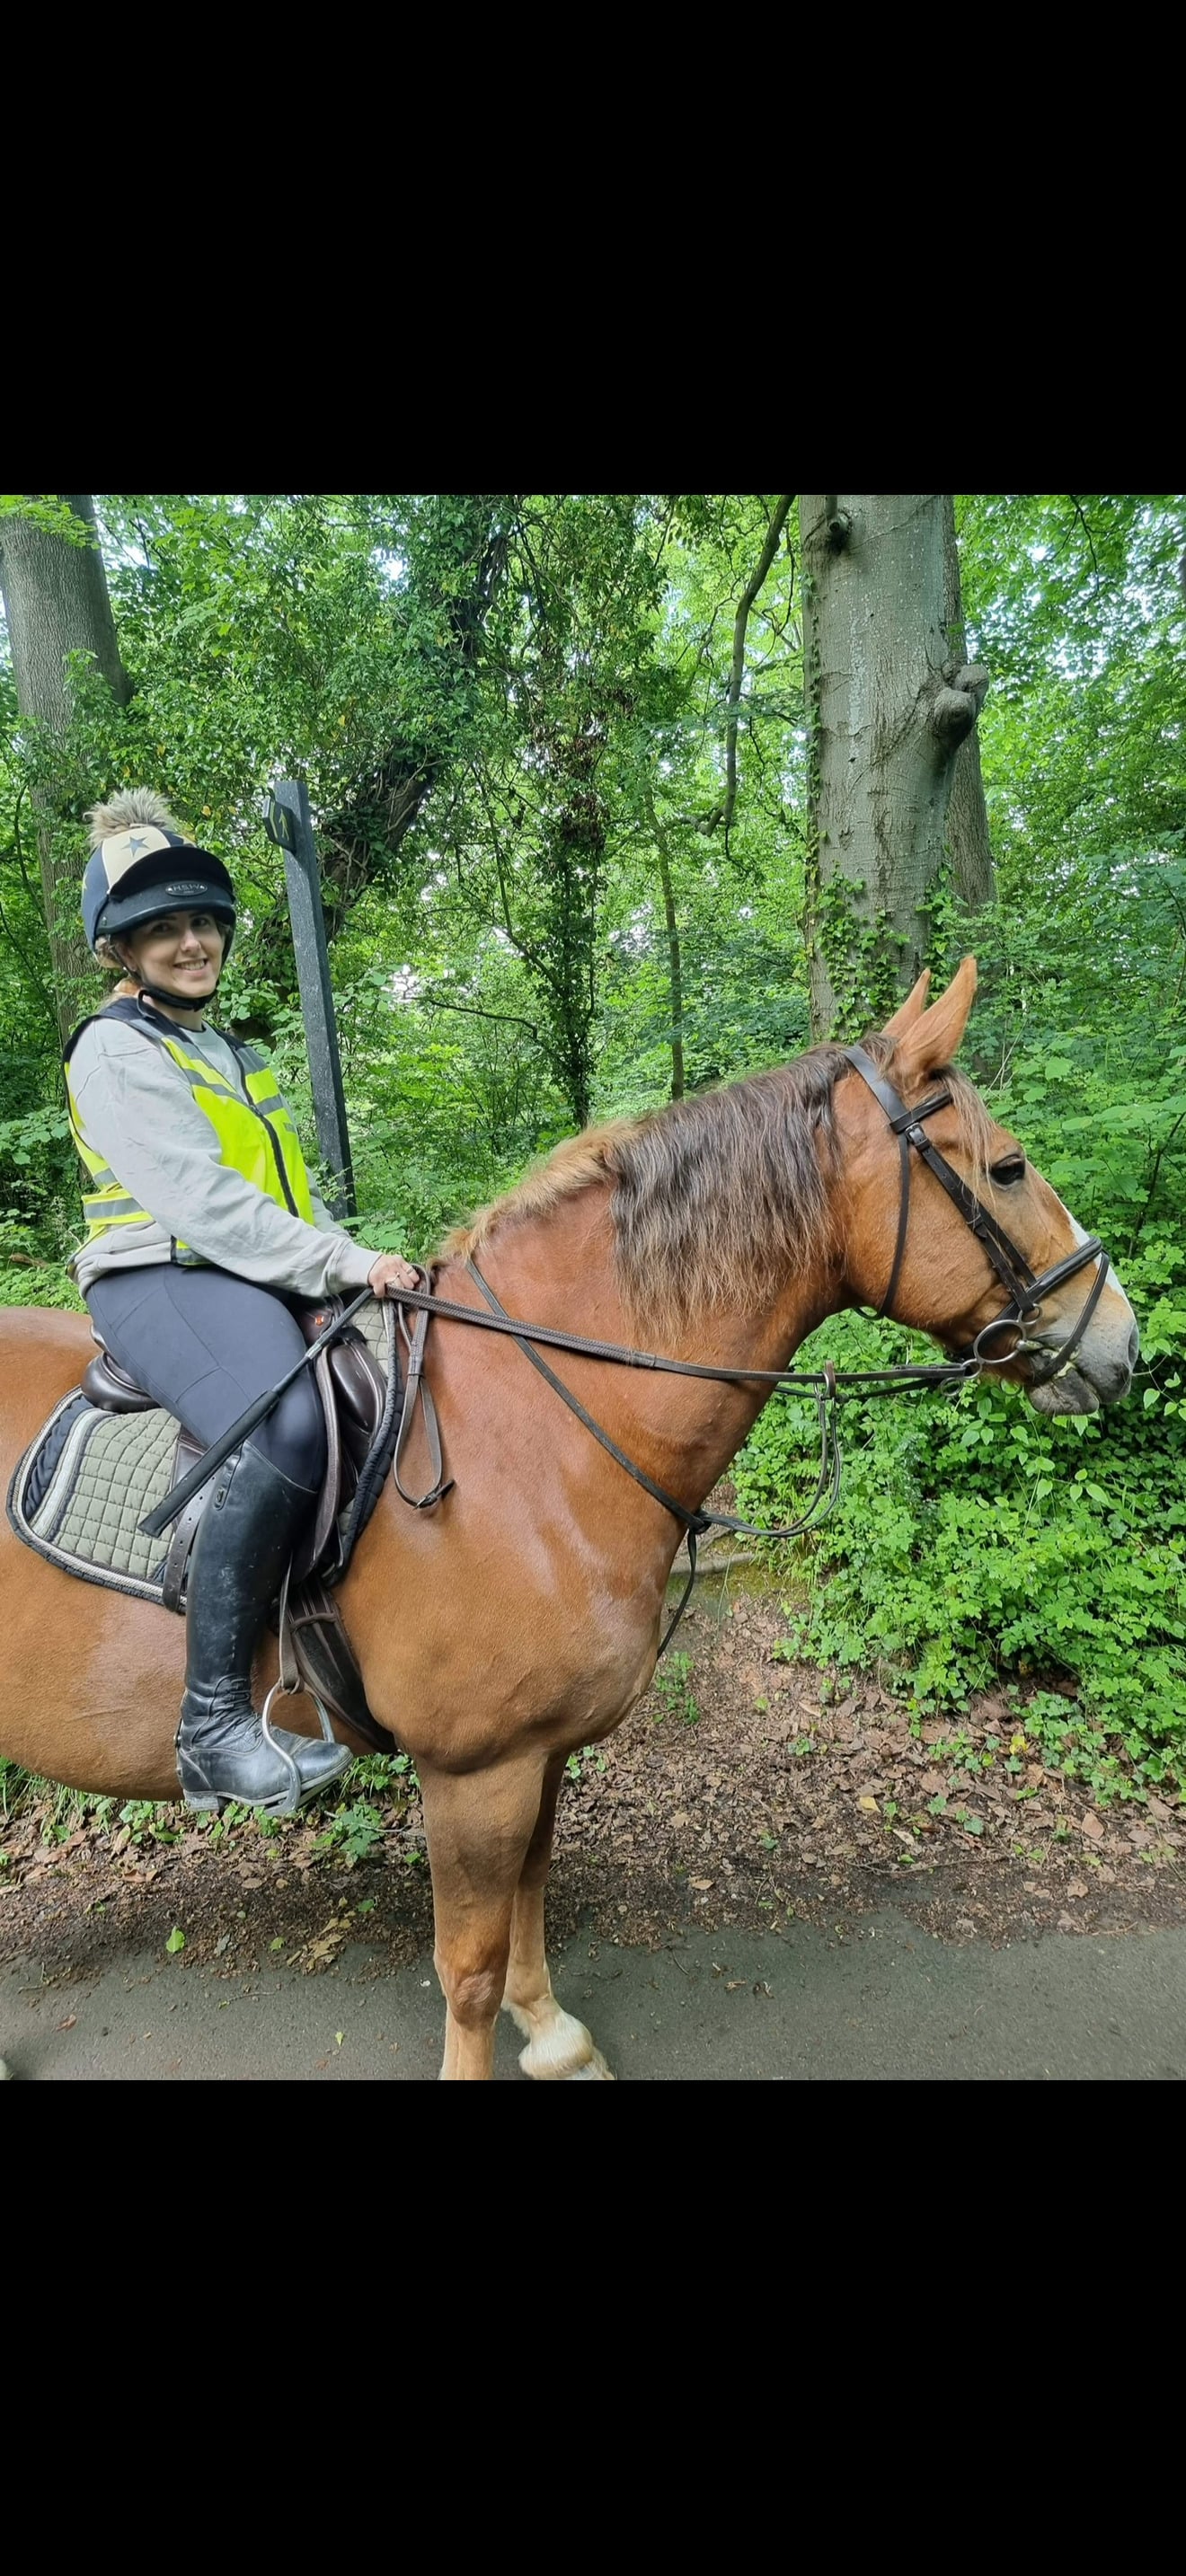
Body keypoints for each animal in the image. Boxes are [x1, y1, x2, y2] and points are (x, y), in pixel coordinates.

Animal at [0, 959, 1139, 2079]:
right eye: (1007, 1169)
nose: (1121, 1344)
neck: (535, 1433)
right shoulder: (475, 1771)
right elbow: (467, 1967)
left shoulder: (538, 1755)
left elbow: (532, 1903)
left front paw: (552, 2037)